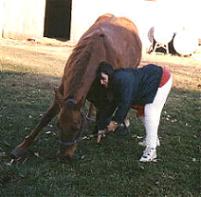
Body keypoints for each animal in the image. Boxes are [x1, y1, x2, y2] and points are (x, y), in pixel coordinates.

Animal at [11, 13, 142, 159]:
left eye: (77, 127)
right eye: (58, 125)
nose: (64, 156)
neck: (97, 52)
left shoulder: (108, 94)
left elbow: (105, 111)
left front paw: (100, 132)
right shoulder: (63, 92)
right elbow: (46, 117)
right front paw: (21, 148)